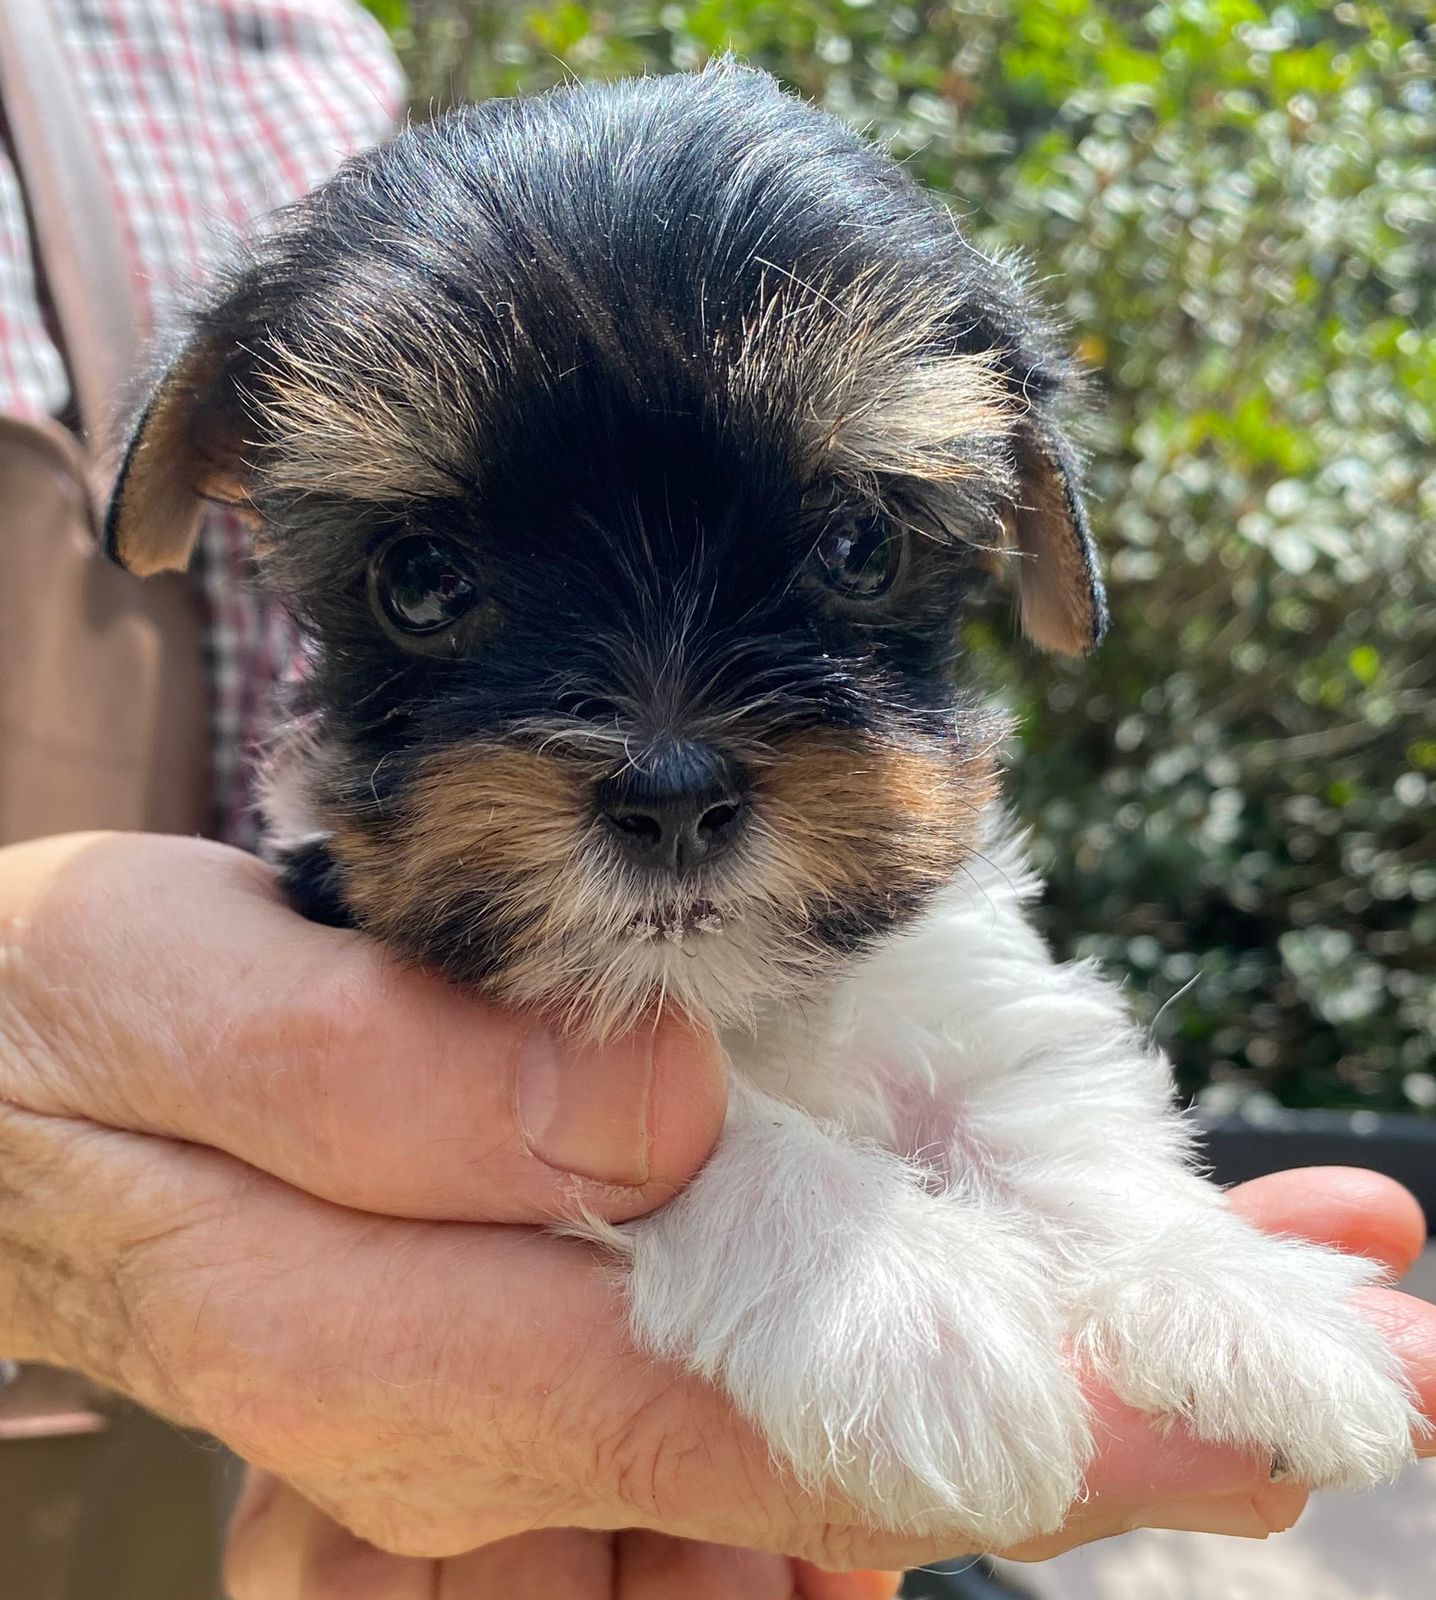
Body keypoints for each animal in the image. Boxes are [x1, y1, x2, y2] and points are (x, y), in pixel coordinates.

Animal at [104, 64, 1419, 1546]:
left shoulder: (959, 975)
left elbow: (1041, 1113)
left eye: (857, 543)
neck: (725, 989)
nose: (671, 796)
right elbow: (711, 1129)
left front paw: (1233, 1295)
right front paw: (905, 1303)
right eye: (422, 581)